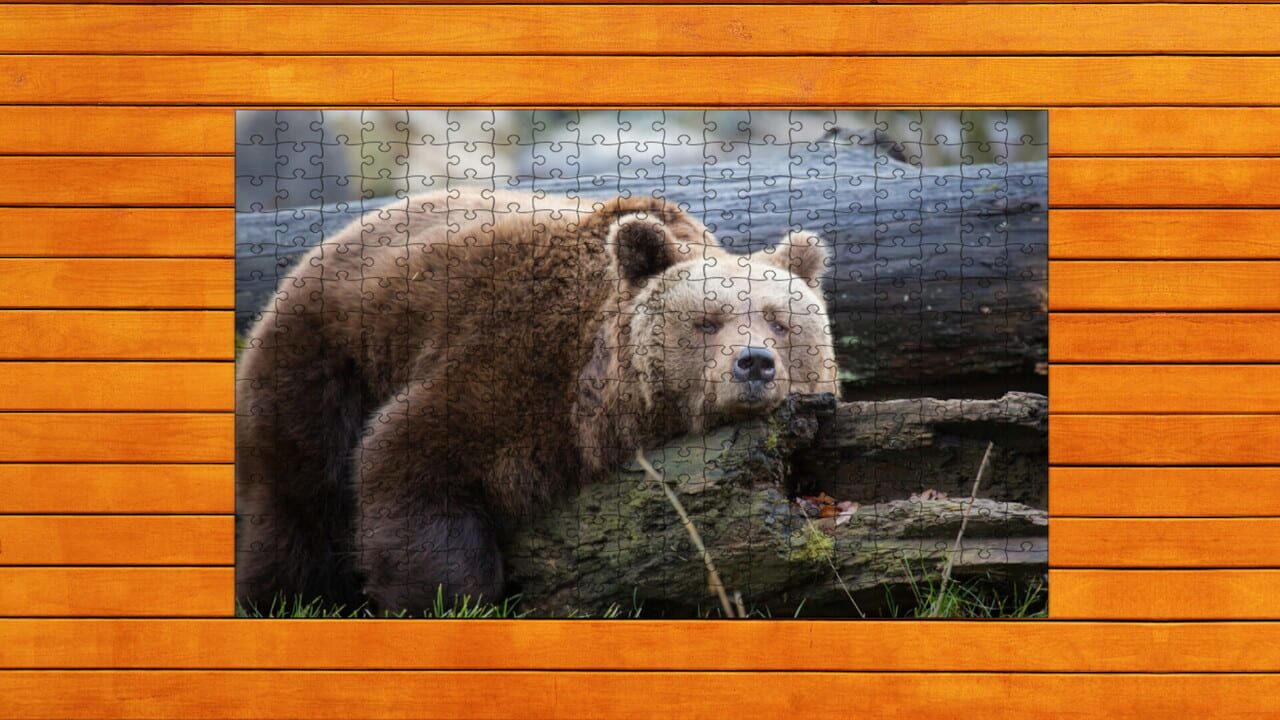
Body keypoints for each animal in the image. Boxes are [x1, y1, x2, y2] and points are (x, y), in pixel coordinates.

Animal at [235, 189, 839, 613]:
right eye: (707, 321)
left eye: (780, 322)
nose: (754, 363)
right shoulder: (508, 359)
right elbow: (409, 456)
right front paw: (445, 597)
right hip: (327, 357)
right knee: (301, 496)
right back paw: (284, 597)